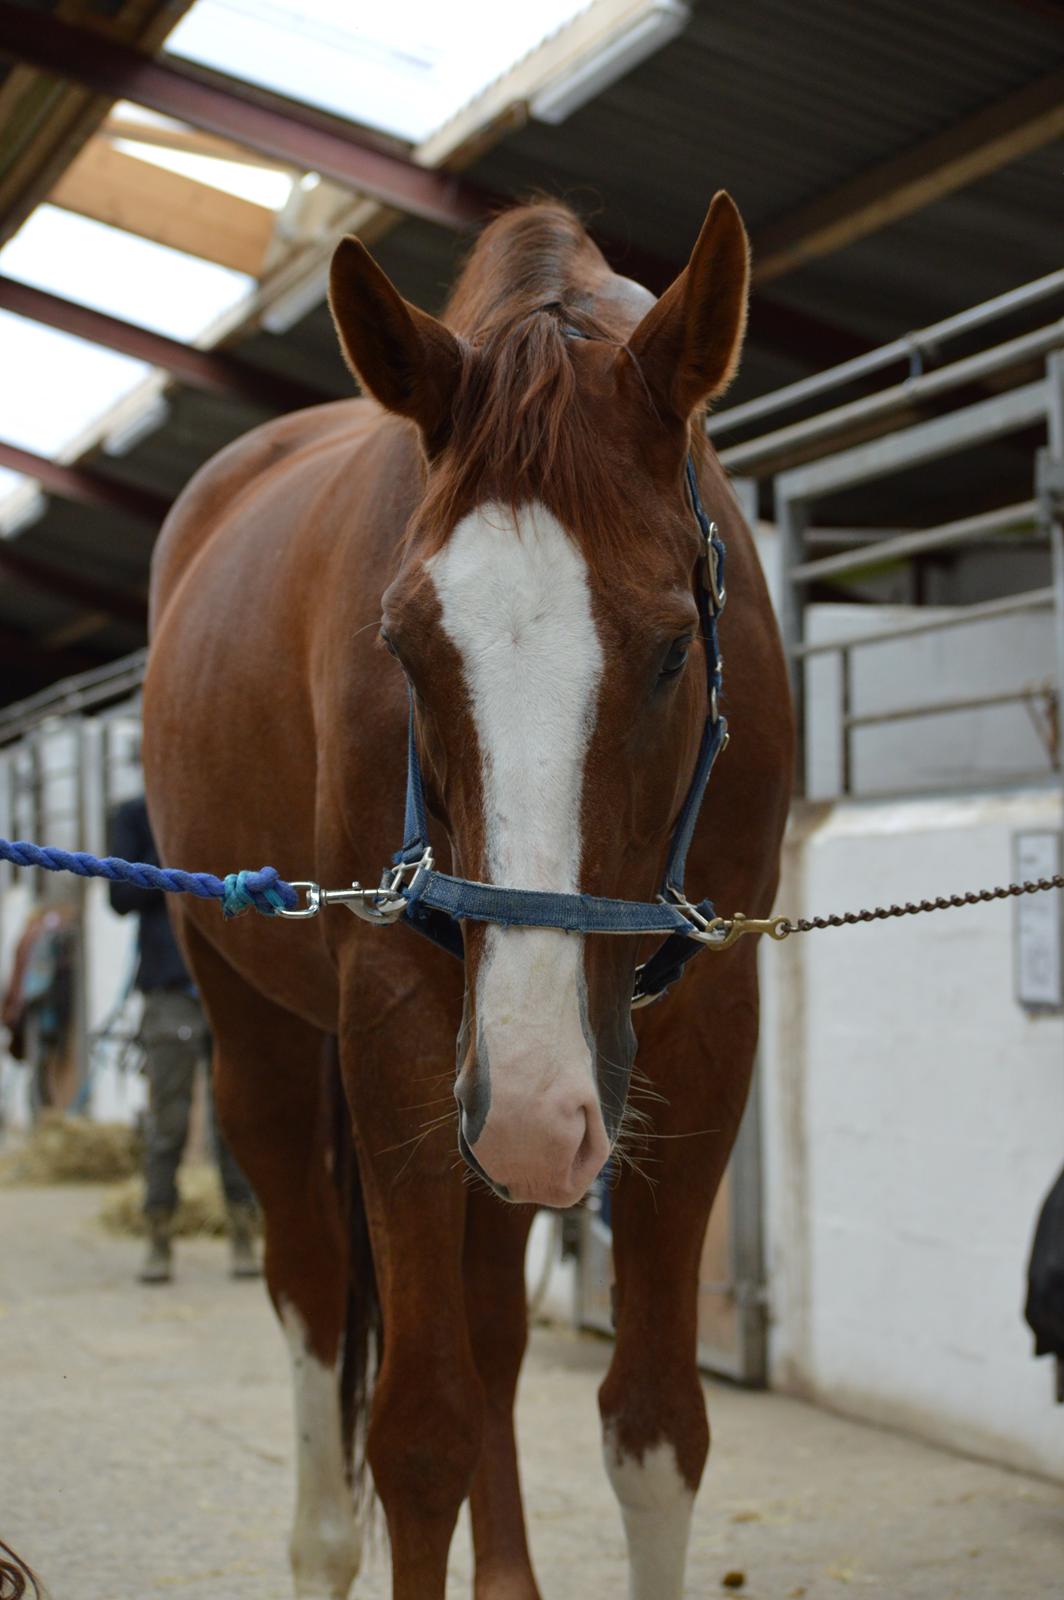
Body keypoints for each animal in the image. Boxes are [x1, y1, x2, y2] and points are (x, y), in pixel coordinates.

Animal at [140, 196, 787, 1600]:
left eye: (674, 646)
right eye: (403, 647)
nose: (539, 1106)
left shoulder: (706, 1020)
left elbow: (655, 1425)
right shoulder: (400, 1020)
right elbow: (419, 1431)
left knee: (492, 1322)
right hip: (278, 1037)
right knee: (315, 1295)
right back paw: (320, 1543)